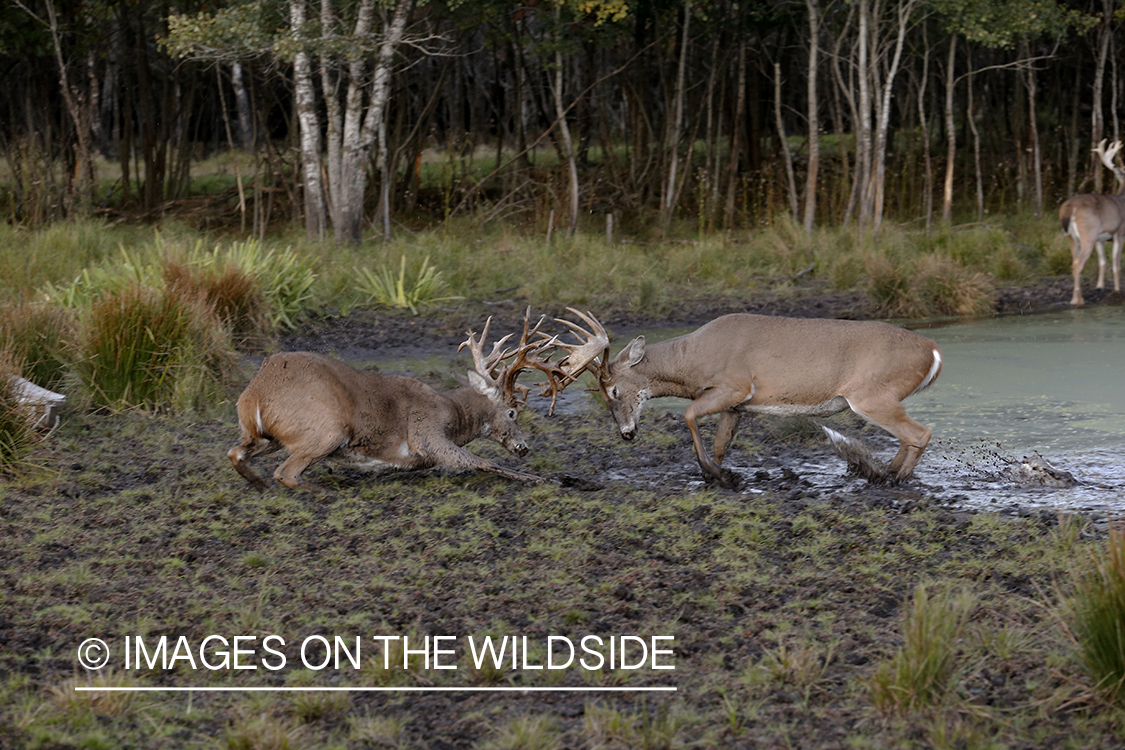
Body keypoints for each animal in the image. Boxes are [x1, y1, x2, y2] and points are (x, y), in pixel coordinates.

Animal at [226, 310, 571, 490]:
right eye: (512, 412)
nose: (524, 448)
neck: (453, 412)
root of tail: (255, 395)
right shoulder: (425, 433)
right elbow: (485, 462)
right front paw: (553, 479)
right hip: (326, 428)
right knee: (285, 472)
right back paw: (320, 489)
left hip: (264, 435)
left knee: (235, 452)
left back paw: (259, 485)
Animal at [551, 310, 940, 490]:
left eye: (614, 391)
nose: (627, 433)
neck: (691, 363)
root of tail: (934, 351)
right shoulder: (736, 407)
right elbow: (721, 442)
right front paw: (720, 473)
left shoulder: (734, 385)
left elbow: (689, 414)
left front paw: (712, 473)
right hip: (881, 396)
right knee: (909, 435)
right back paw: (883, 472)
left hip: (871, 393)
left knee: (919, 432)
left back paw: (894, 479)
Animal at [1057, 139, 1120, 305]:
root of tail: (1068, 208)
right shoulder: (1120, 232)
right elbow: (1116, 263)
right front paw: (1117, 289)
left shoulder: (1100, 238)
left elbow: (1103, 261)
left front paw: (1100, 286)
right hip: (1088, 234)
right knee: (1078, 263)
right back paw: (1078, 300)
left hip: (1072, 237)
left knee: (1073, 261)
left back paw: (1075, 298)